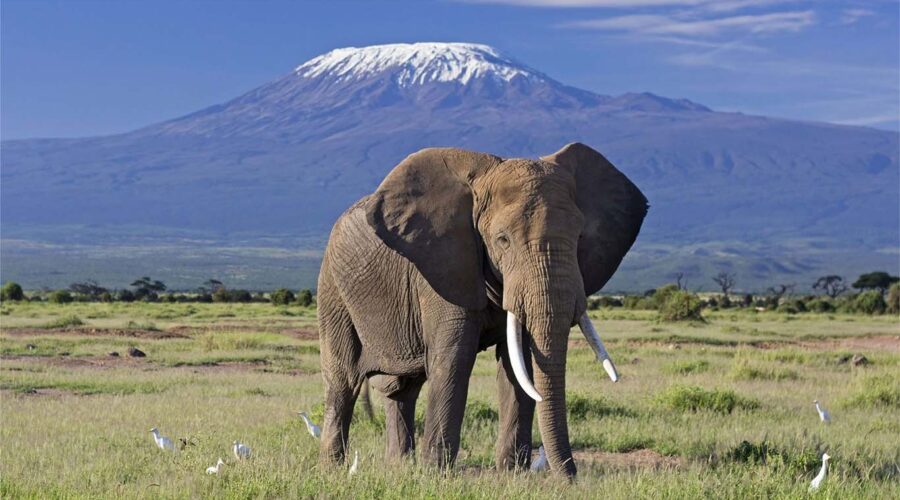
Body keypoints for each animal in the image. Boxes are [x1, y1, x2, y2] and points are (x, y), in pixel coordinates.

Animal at [315, 142, 647, 477]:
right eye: (503, 240)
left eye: (579, 237)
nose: (571, 479)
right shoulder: (443, 267)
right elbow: (454, 358)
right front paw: (437, 475)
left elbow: (519, 362)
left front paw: (512, 475)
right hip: (332, 289)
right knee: (343, 380)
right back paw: (333, 469)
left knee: (403, 388)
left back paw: (400, 467)